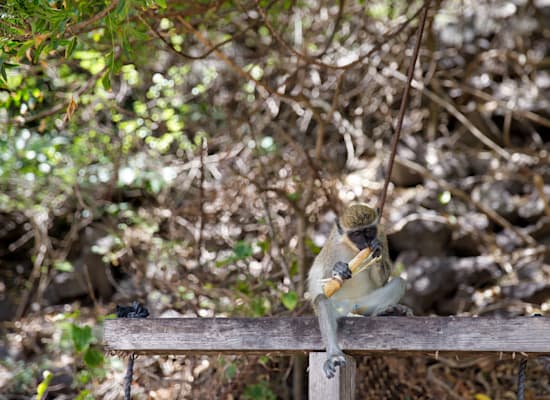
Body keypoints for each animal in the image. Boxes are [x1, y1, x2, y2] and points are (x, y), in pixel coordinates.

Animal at [310, 203, 410, 378]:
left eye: (368, 231)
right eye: (356, 234)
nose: (366, 242)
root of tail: (352, 308)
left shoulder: (381, 234)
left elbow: (382, 279)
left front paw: (376, 250)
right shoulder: (333, 245)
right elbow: (322, 285)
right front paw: (338, 270)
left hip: (363, 305)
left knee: (399, 282)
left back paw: (383, 312)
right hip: (340, 309)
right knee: (321, 300)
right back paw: (334, 356)